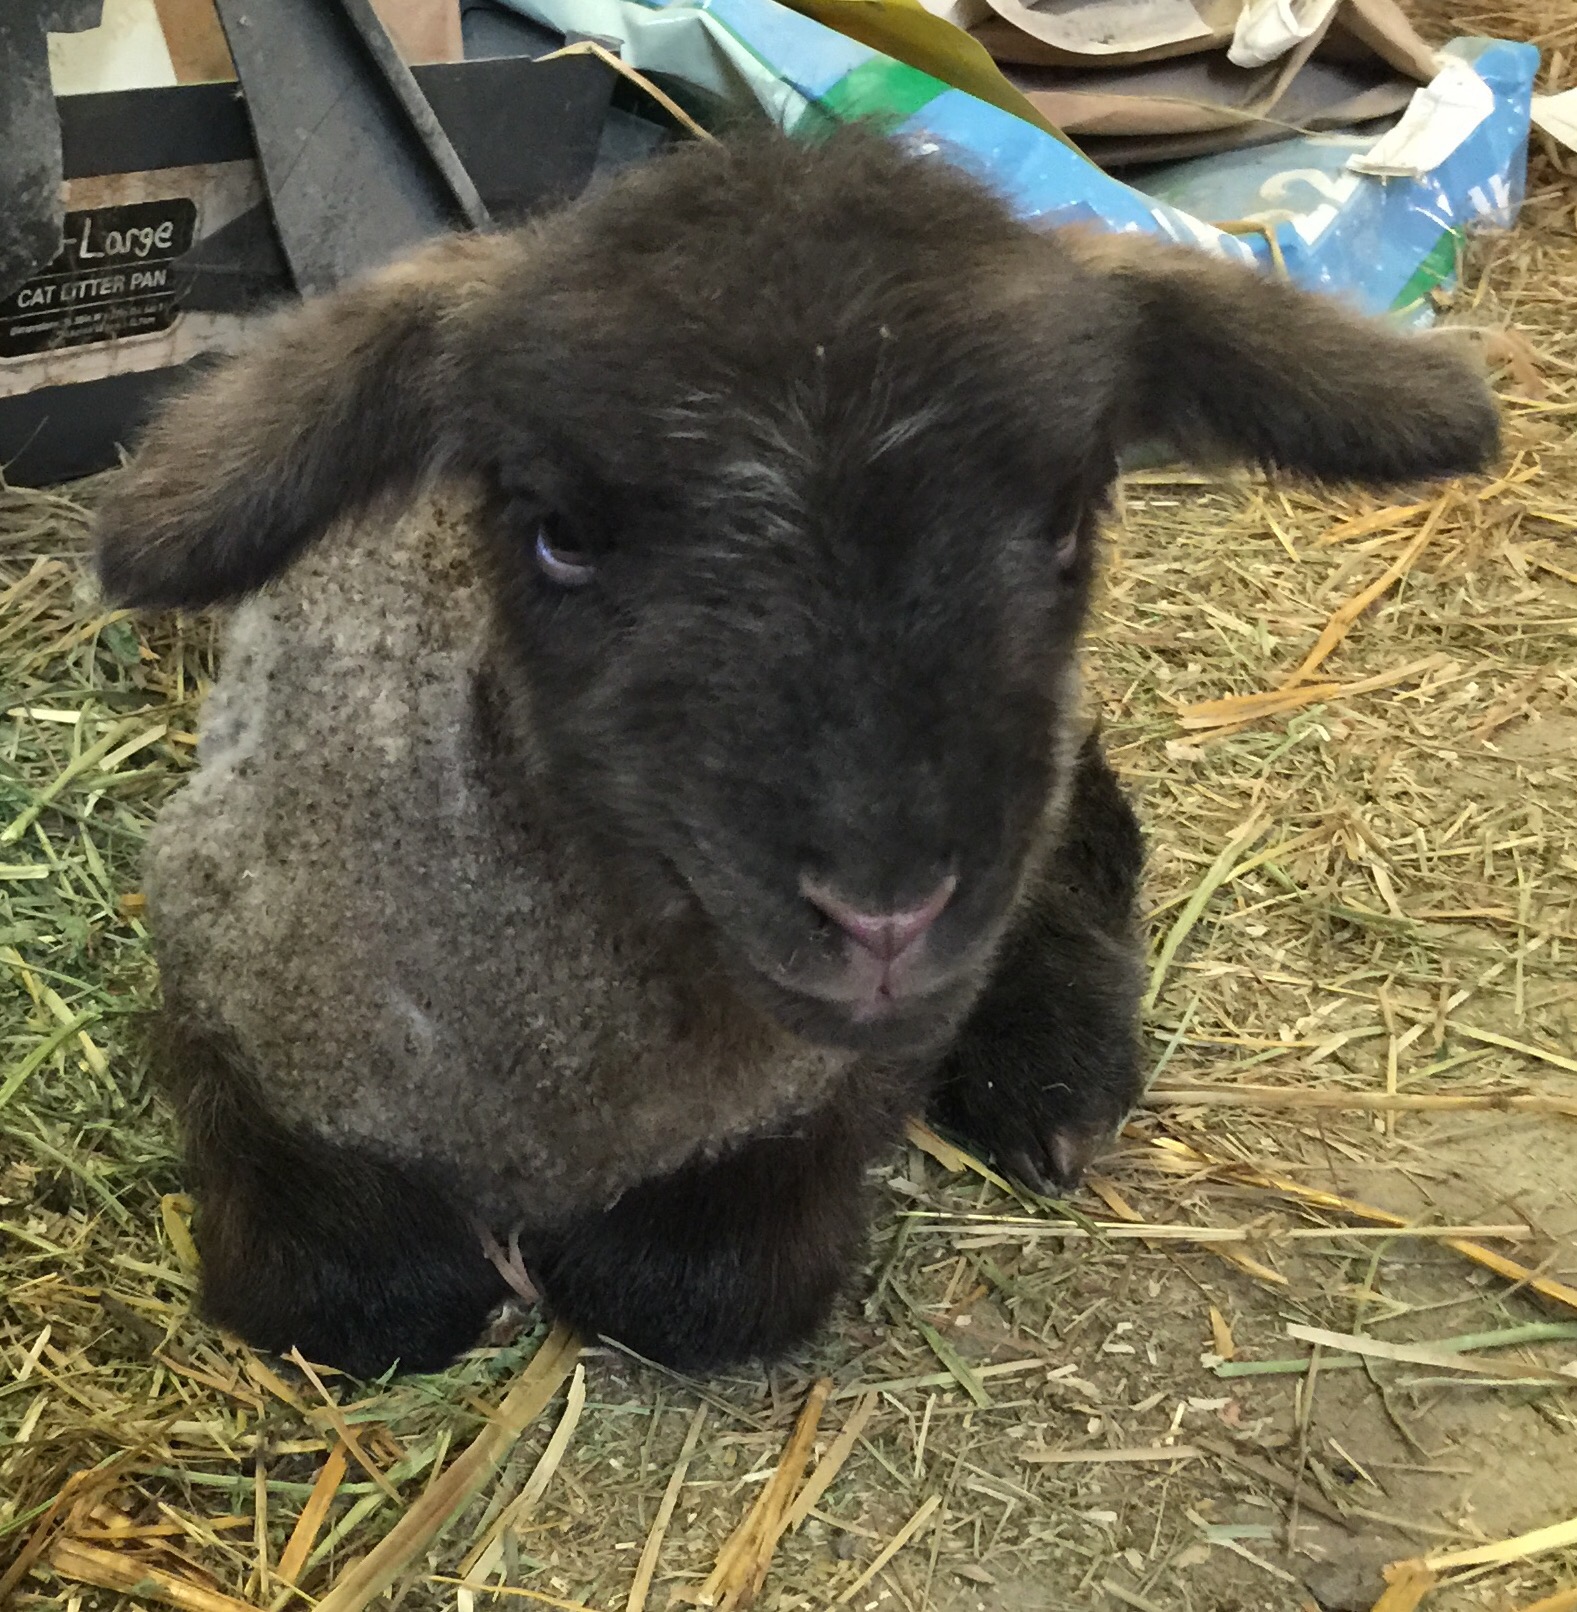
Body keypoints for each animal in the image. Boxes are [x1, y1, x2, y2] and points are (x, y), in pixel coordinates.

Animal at [95, 125, 1499, 1379]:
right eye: (557, 532)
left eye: (1066, 515)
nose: (886, 916)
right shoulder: (217, 986)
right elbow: (349, 1300)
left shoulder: (830, 1086)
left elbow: (688, 1287)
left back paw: (1054, 1087)